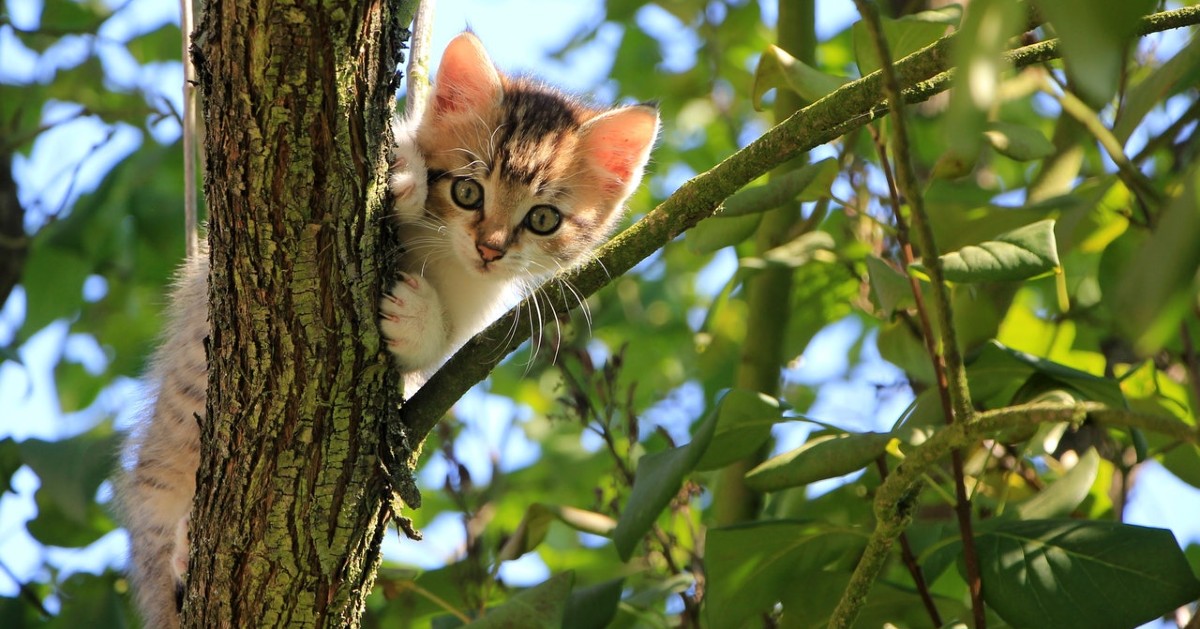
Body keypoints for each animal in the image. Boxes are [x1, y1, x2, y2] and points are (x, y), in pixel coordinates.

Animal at [118, 33, 662, 629]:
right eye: (468, 192)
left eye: (544, 219)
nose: (490, 249)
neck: (443, 254)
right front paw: (405, 171)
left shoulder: (471, 315)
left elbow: (437, 348)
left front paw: (415, 316)